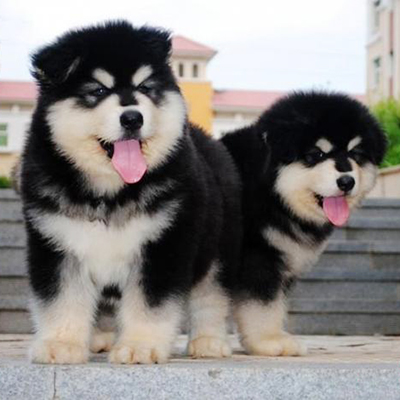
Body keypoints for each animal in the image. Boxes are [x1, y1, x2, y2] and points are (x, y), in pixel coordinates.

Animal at [21, 20, 241, 364]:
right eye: (98, 91)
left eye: (146, 88)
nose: (133, 117)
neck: (111, 193)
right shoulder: (56, 243)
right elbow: (62, 298)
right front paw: (61, 343)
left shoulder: (163, 243)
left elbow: (151, 303)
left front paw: (140, 345)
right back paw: (101, 338)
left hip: (217, 249)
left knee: (210, 296)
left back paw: (208, 341)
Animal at [222, 91, 387, 356]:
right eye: (316, 154)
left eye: (356, 154)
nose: (347, 181)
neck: (272, 191)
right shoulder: (259, 257)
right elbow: (262, 305)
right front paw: (269, 341)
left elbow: (275, 305)